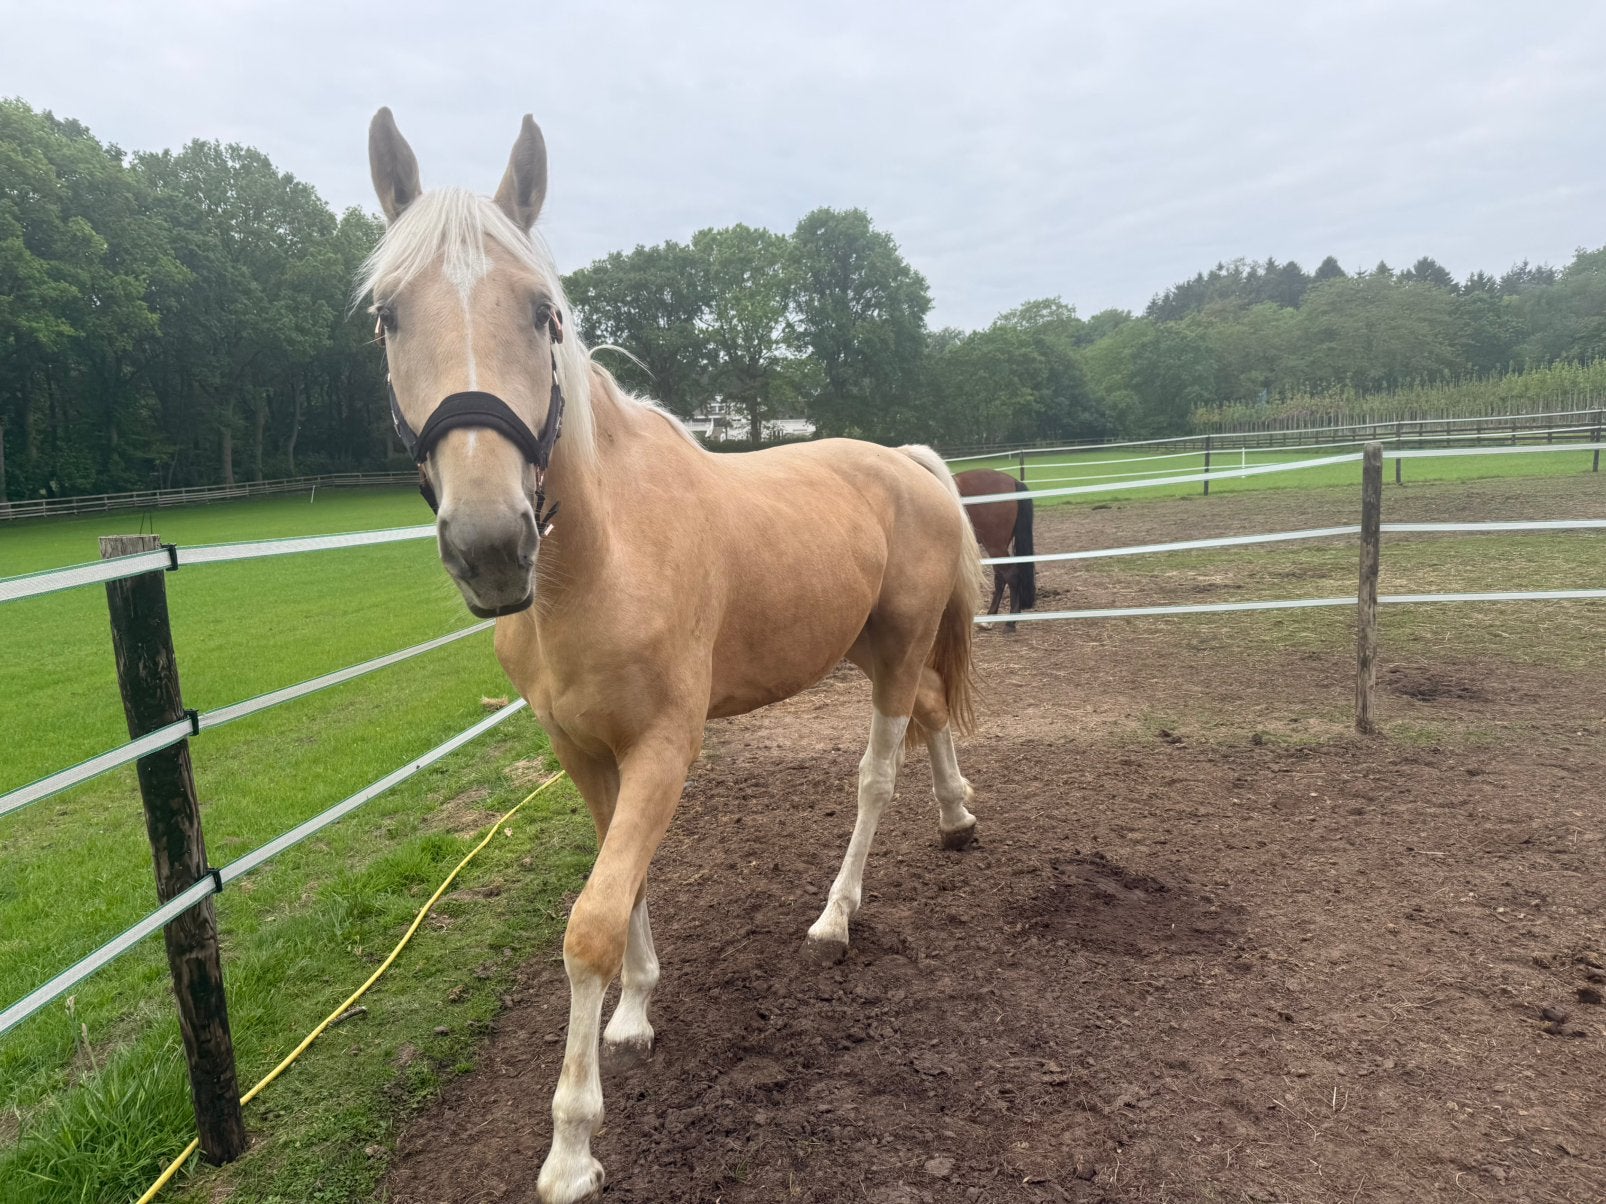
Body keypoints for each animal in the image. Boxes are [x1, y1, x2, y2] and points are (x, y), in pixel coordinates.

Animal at [361, 109, 986, 1204]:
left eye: (542, 313)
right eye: (390, 316)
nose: (489, 544)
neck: (603, 558)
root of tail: (909, 464)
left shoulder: (663, 746)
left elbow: (591, 921)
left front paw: (572, 1144)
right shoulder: (580, 750)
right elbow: (628, 885)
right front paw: (636, 1014)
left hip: (898, 647)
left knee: (875, 774)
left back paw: (836, 917)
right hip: (874, 651)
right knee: (930, 722)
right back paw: (955, 818)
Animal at [953, 468, 1036, 631]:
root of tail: (1013, 481)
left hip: (995, 545)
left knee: (1011, 575)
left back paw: (1011, 622)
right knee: (1000, 577)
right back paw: (989, 619)